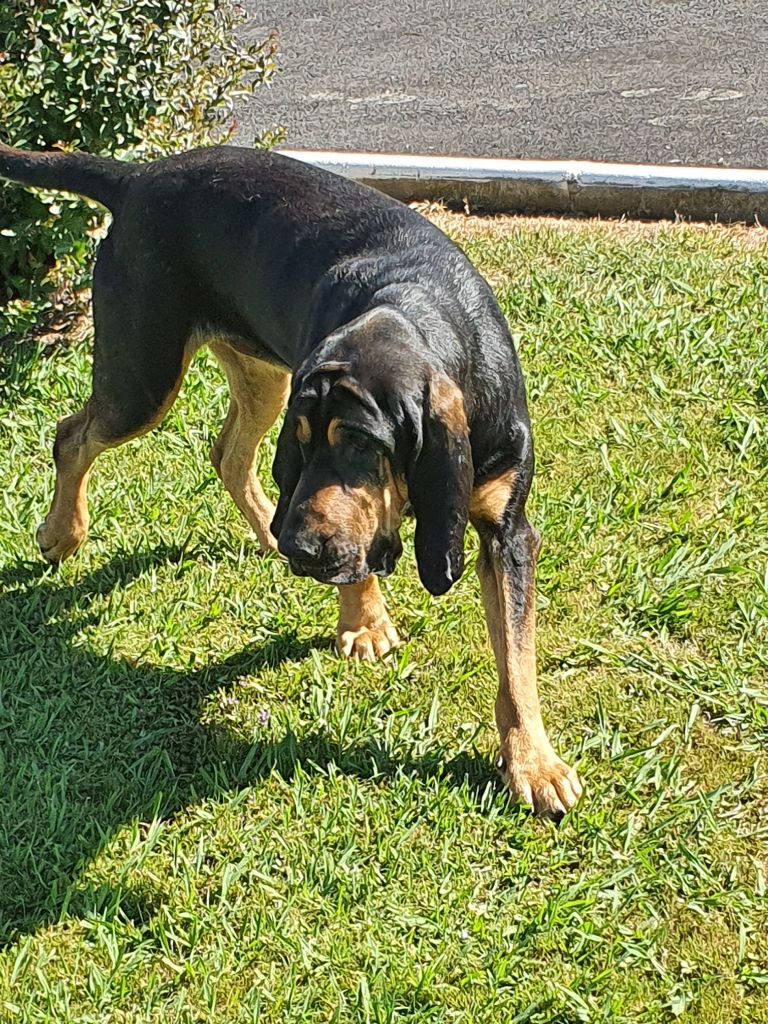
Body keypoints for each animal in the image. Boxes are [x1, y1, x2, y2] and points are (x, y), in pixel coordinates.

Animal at [0, 142, 581, 815]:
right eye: (304, 442)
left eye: (360, 441)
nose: (301, 550)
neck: (419, 307)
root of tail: (141, 174)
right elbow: (355, 559)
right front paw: (363, 622)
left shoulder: (509, 533)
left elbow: (516, 661)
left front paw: (534, 766)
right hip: (143, 379)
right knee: (73, 435)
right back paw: (63, 533)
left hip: (256, 375)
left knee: (226, 454)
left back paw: (260, 534)